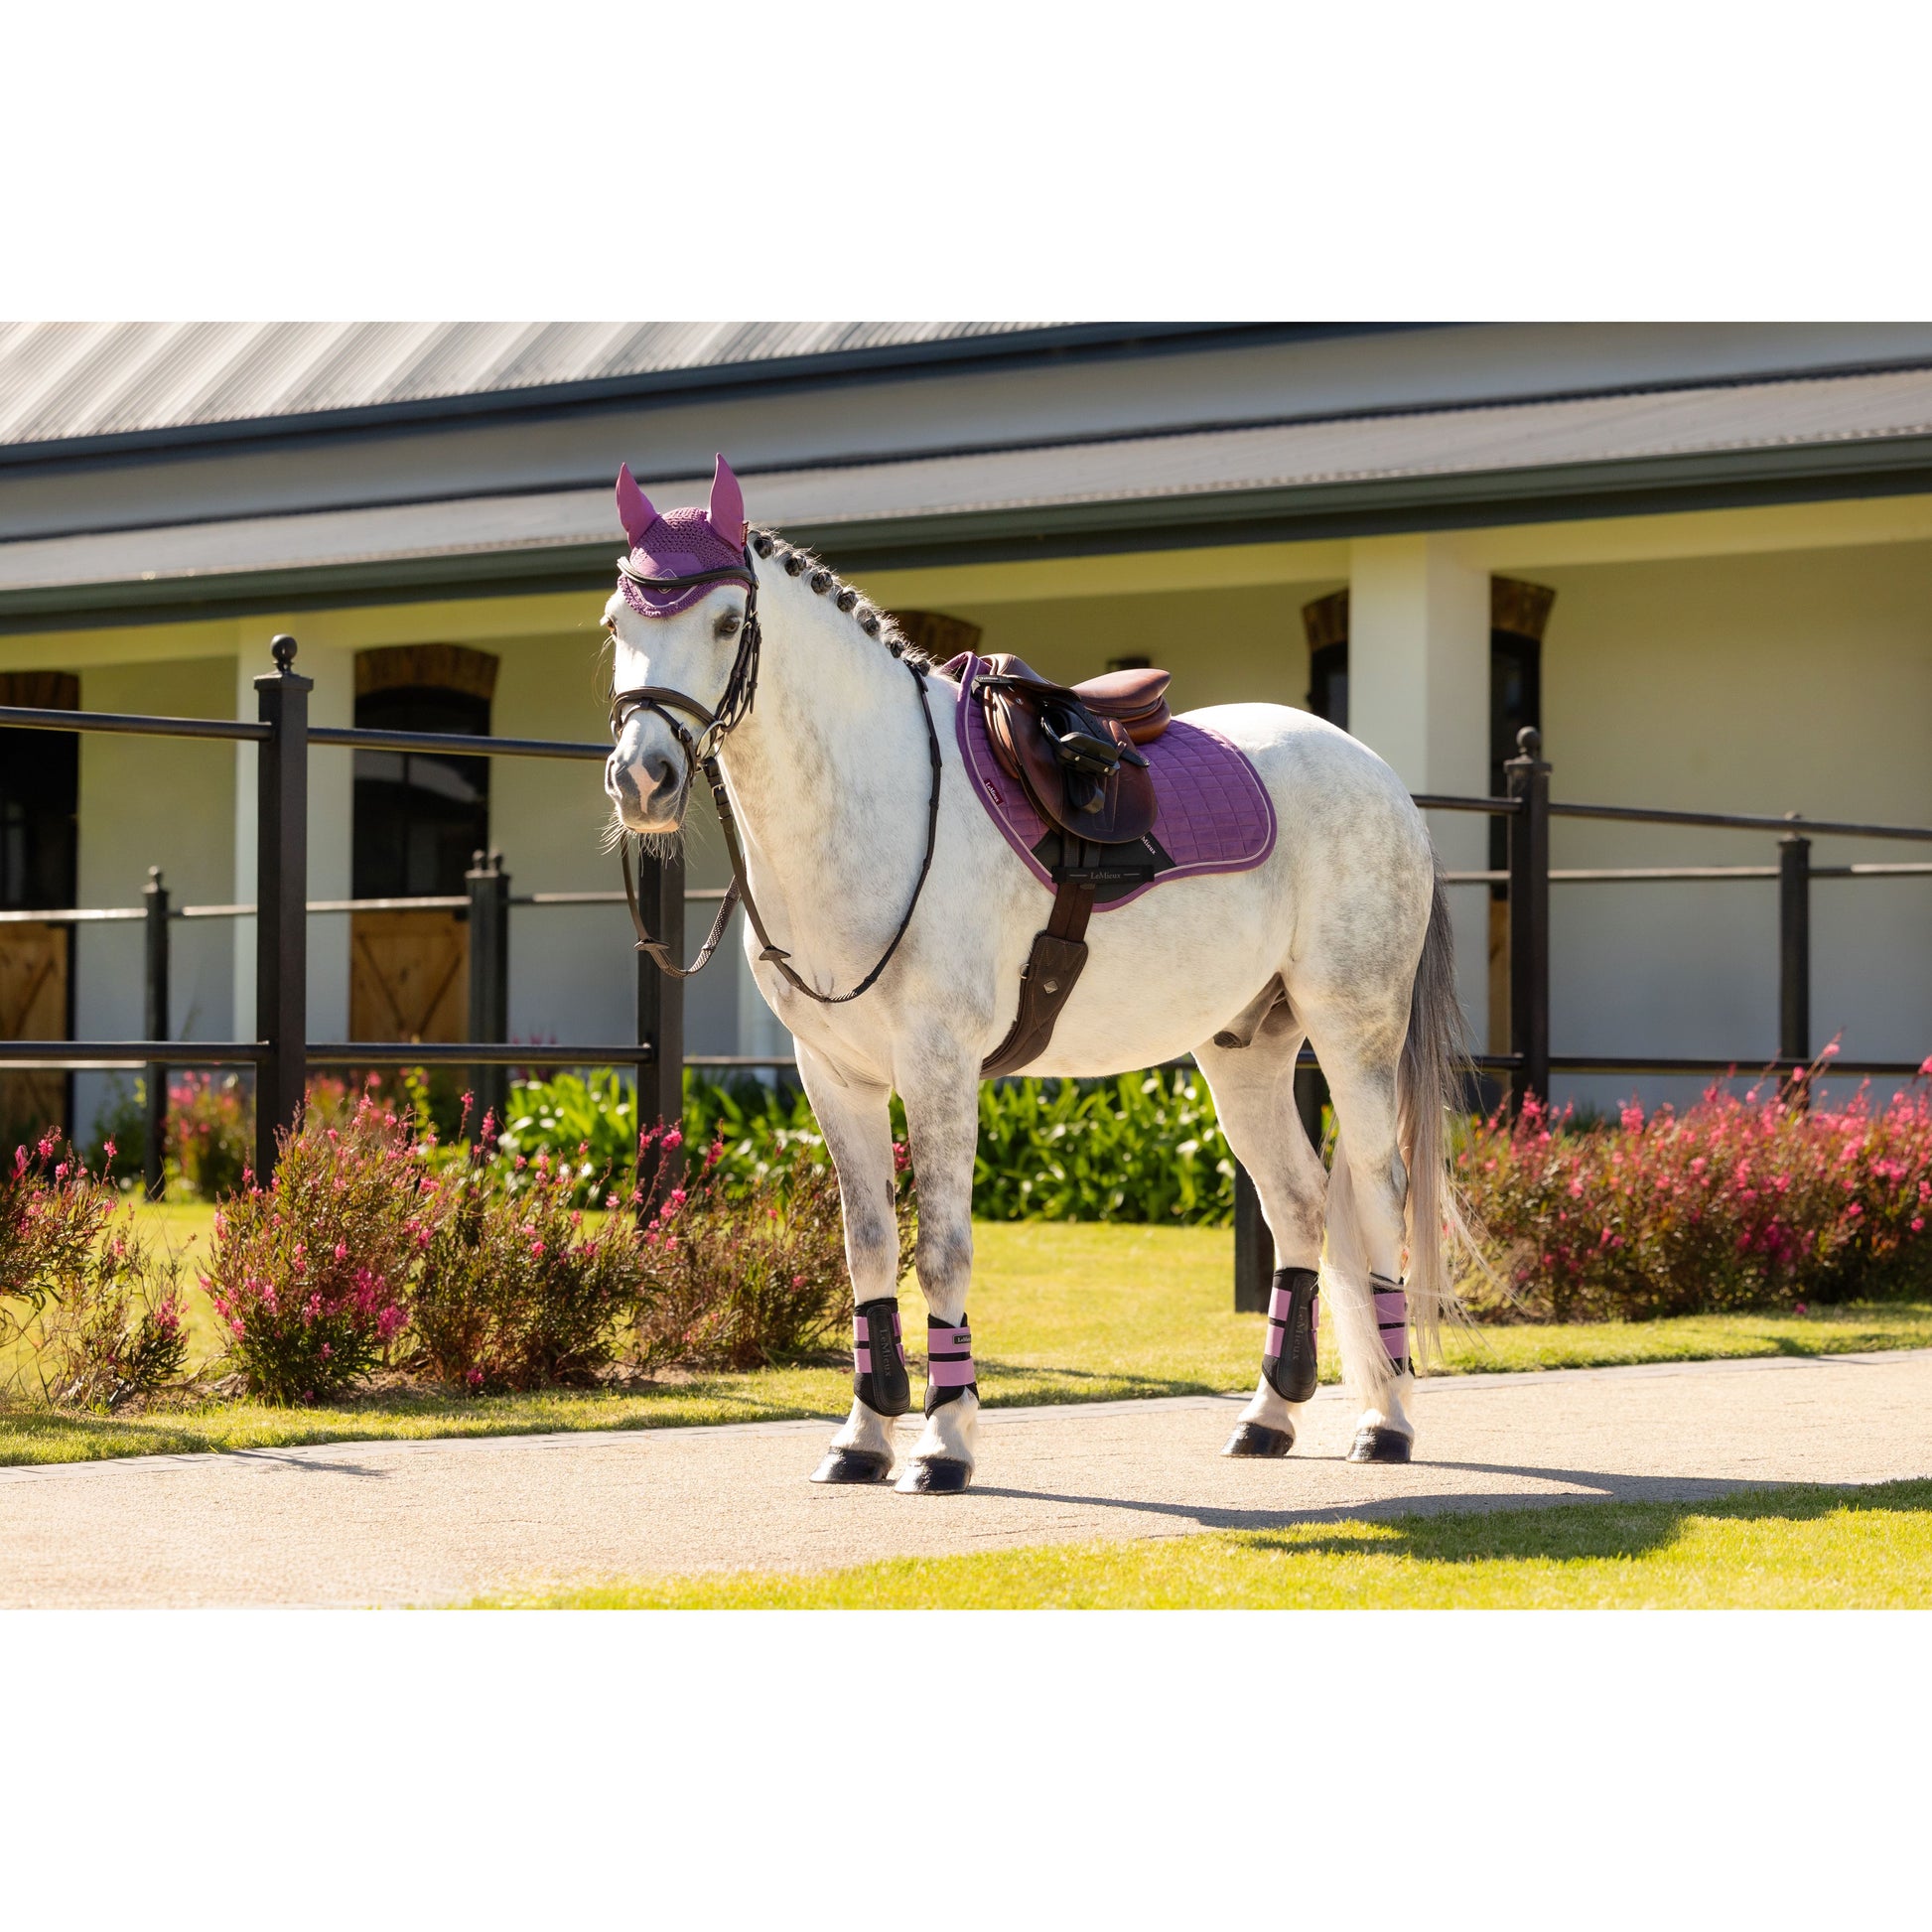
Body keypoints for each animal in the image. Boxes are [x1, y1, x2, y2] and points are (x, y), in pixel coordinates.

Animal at [602, 455, 1475, 1493]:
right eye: (616, 625)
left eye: (728, 622)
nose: (643, 777)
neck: (880, 800)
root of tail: (1383, 781)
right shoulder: (835, 1076)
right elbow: (868, 1249)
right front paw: (861, 1438)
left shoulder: (938, 1069)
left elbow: (940, 1252)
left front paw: (943, 1444)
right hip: (1244, 1049)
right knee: (1299, 1203)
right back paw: (1268, 1417)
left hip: (1354, 1031)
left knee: (1378, 1197)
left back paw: (1387, 1422)